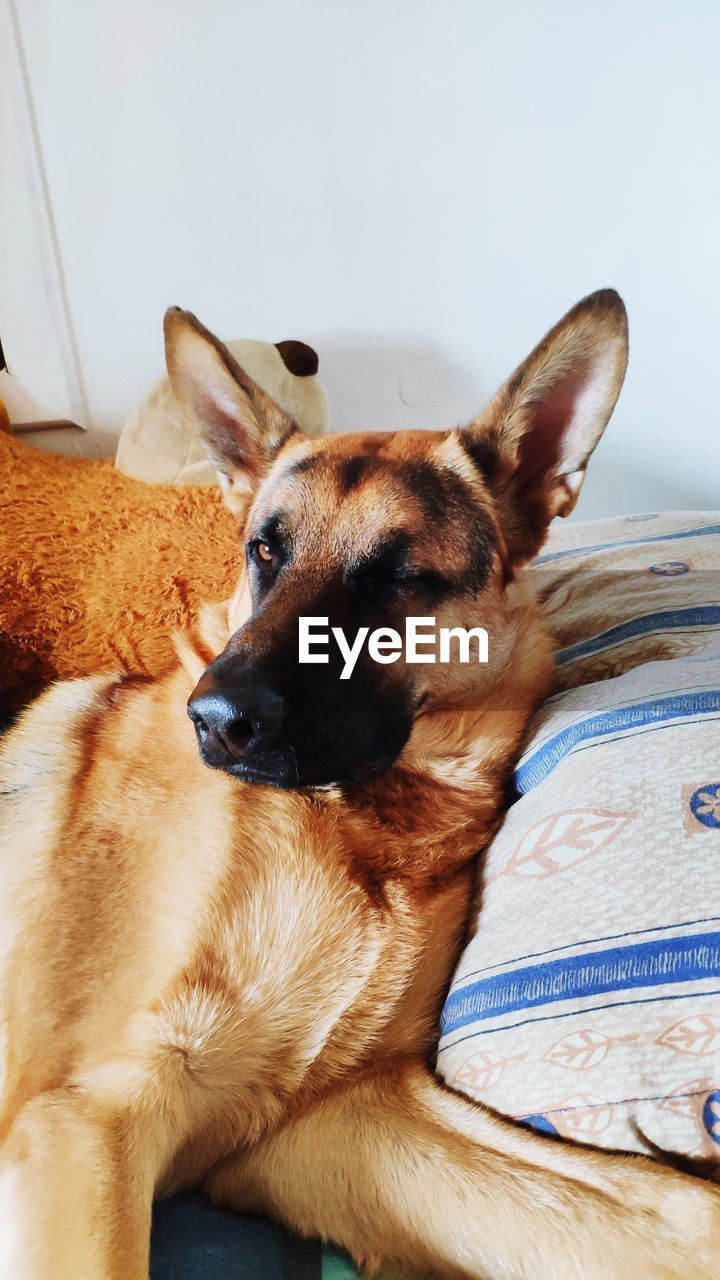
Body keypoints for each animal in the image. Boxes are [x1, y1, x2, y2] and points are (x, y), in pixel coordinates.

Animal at [0, 293, 712, 1280]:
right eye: (263, 552)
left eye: (397, 577)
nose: (213, 718)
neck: (366, 821)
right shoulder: (85, 1119)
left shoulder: (335, 1117)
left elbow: (673, 1212)